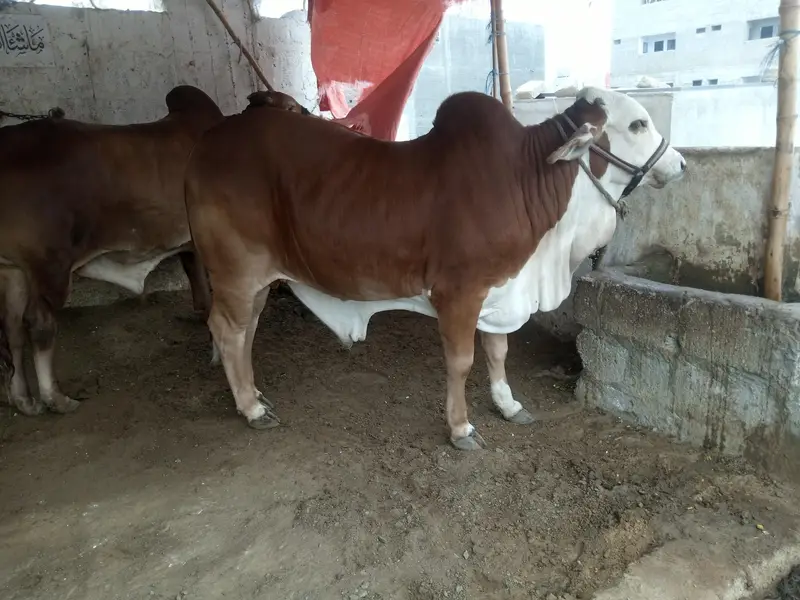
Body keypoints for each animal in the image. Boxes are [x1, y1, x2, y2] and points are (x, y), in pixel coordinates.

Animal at [0, 85, 224, 417]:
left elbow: (200, 287)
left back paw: (24, 399)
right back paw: (55, 398)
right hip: (49, 266)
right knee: (39, 325)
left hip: (15, 270)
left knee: (13, 328)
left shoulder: (191, 246)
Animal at [184, 86, 687, 450]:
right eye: (638, 124)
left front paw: (508, 404)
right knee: (226, 330)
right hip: (236, 272)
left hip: (257, 279)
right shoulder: (459, 293)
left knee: (245, 330)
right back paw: (250, 409)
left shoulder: (499, 289)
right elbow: (462, 362)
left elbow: (499, 351)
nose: (681, 163)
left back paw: (255, 396)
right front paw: (461, 429)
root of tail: (210, 142)